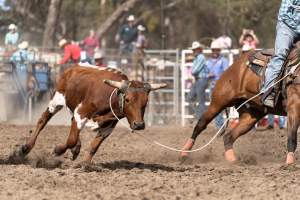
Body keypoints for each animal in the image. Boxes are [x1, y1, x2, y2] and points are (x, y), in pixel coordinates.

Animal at [17, 65, 165, 162]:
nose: (139, 125)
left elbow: (94, 146)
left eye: (146, 101)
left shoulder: (109, 126)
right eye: (127, 99)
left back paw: (76, 150)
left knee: (72, 123)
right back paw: (26, 148)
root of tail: (72, 68)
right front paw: (58, 150)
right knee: (43, 120)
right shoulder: (81, 113)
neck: (110, 97)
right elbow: (71, 139)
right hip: (57, 99)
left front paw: (84, 164)